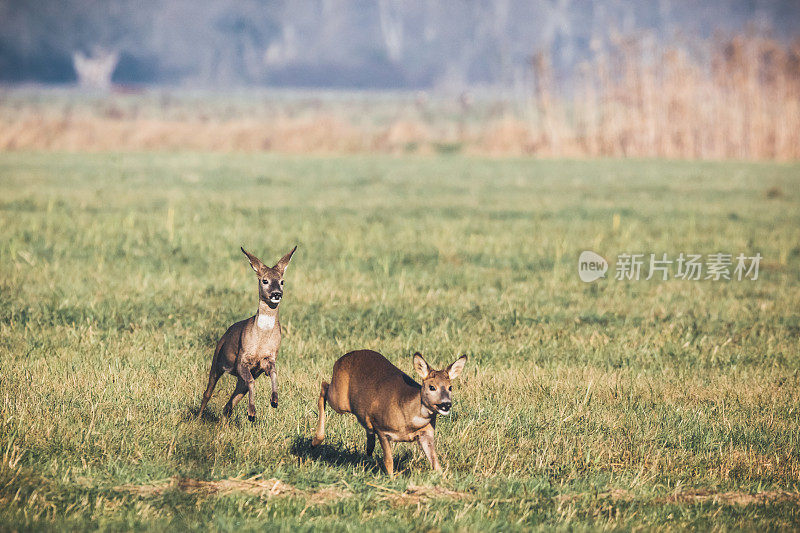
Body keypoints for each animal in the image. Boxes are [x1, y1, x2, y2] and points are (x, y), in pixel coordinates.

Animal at [310, 352, 466, 476]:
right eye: (432, 387)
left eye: (450, 387)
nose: (446, 404)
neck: (409, 419)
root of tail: (340, 359)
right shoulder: (382, 429)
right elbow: (388, 460)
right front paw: (391, 479)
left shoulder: (426, 433)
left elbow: (435, 462)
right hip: (340, 400)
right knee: (324, 387)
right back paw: (316, 441)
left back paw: (368, 453)